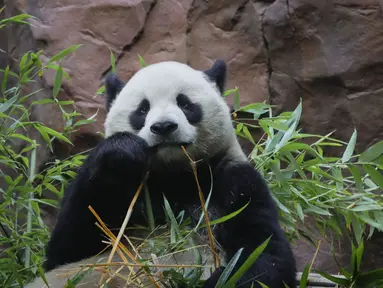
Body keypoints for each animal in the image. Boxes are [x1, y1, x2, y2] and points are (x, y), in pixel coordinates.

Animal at [26, 59, 296, 286]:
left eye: (185, 103)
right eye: (142, 109)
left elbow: (262, 254)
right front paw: (122, 151)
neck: (174, 176)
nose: (164, 126)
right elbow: (68, 249)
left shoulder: (233, 182)